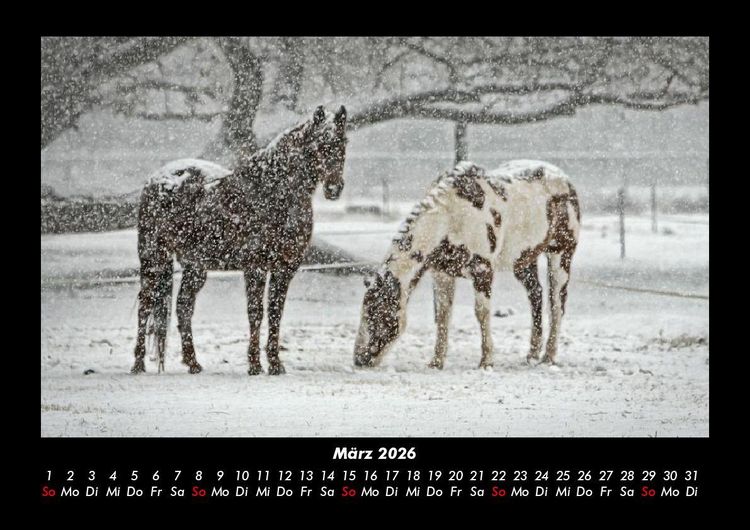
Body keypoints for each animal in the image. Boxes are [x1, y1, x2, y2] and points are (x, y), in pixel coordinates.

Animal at [131, 105, 348, 376]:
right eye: (319, 144)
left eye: (343, 142)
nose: (334, 188)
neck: (272, 193)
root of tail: (157, 179)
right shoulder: (255, 267)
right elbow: (256, 313)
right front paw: (254, 364)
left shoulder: (285, 268)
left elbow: (275, 312)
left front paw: (275, 364)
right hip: (153, 258)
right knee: (145, 304)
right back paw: (138, 363)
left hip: (195, 267)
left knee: (183, 306)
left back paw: (193, 362)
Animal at [353, 160, 580, 370]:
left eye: (377, 313)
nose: (359, 359)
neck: (451, 217)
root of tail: (565, 179)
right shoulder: (442, 274)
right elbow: (443, 315)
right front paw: (436, 362)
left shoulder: (482, 271)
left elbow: (481, 313)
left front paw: (486, 361)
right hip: (523, 260)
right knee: (536, 295)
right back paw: (532, 354)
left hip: (561, 255)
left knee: (557, 303)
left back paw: (548, 356)